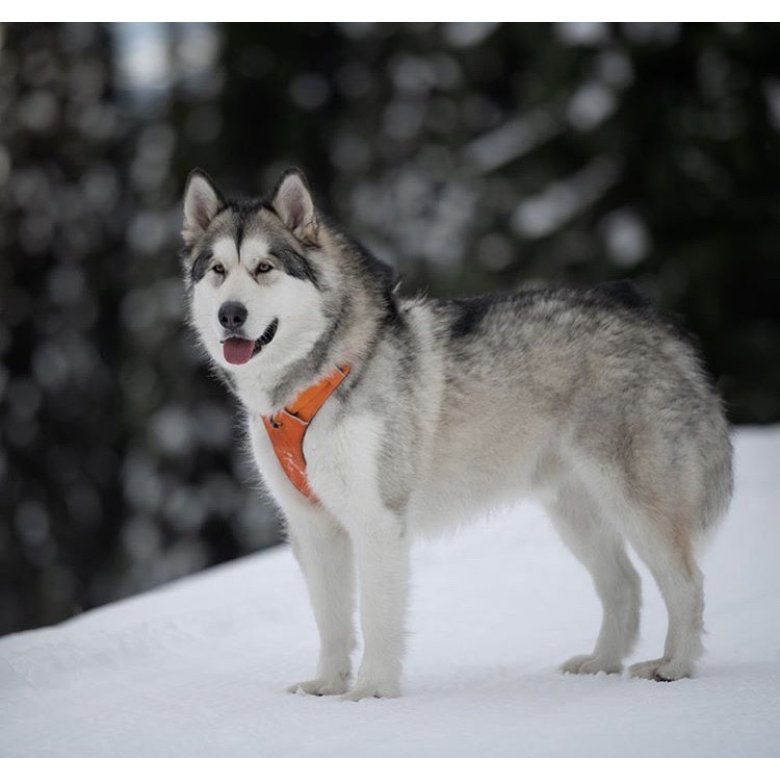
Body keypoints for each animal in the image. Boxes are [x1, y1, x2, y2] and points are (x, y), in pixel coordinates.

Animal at [181, 169, 732, 700]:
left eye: (264, 268)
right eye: (217, 270)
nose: (230, 314)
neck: (316, 377)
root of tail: (651, 316)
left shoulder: (378, 519)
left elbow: (377, 619)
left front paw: (370, 691)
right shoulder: (313, 527)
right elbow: (331, 621)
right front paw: (328, 685)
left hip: (638, 501)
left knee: (687, 582)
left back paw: (674, 666)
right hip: (577, 512)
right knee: (625, 585)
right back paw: (601, 663)